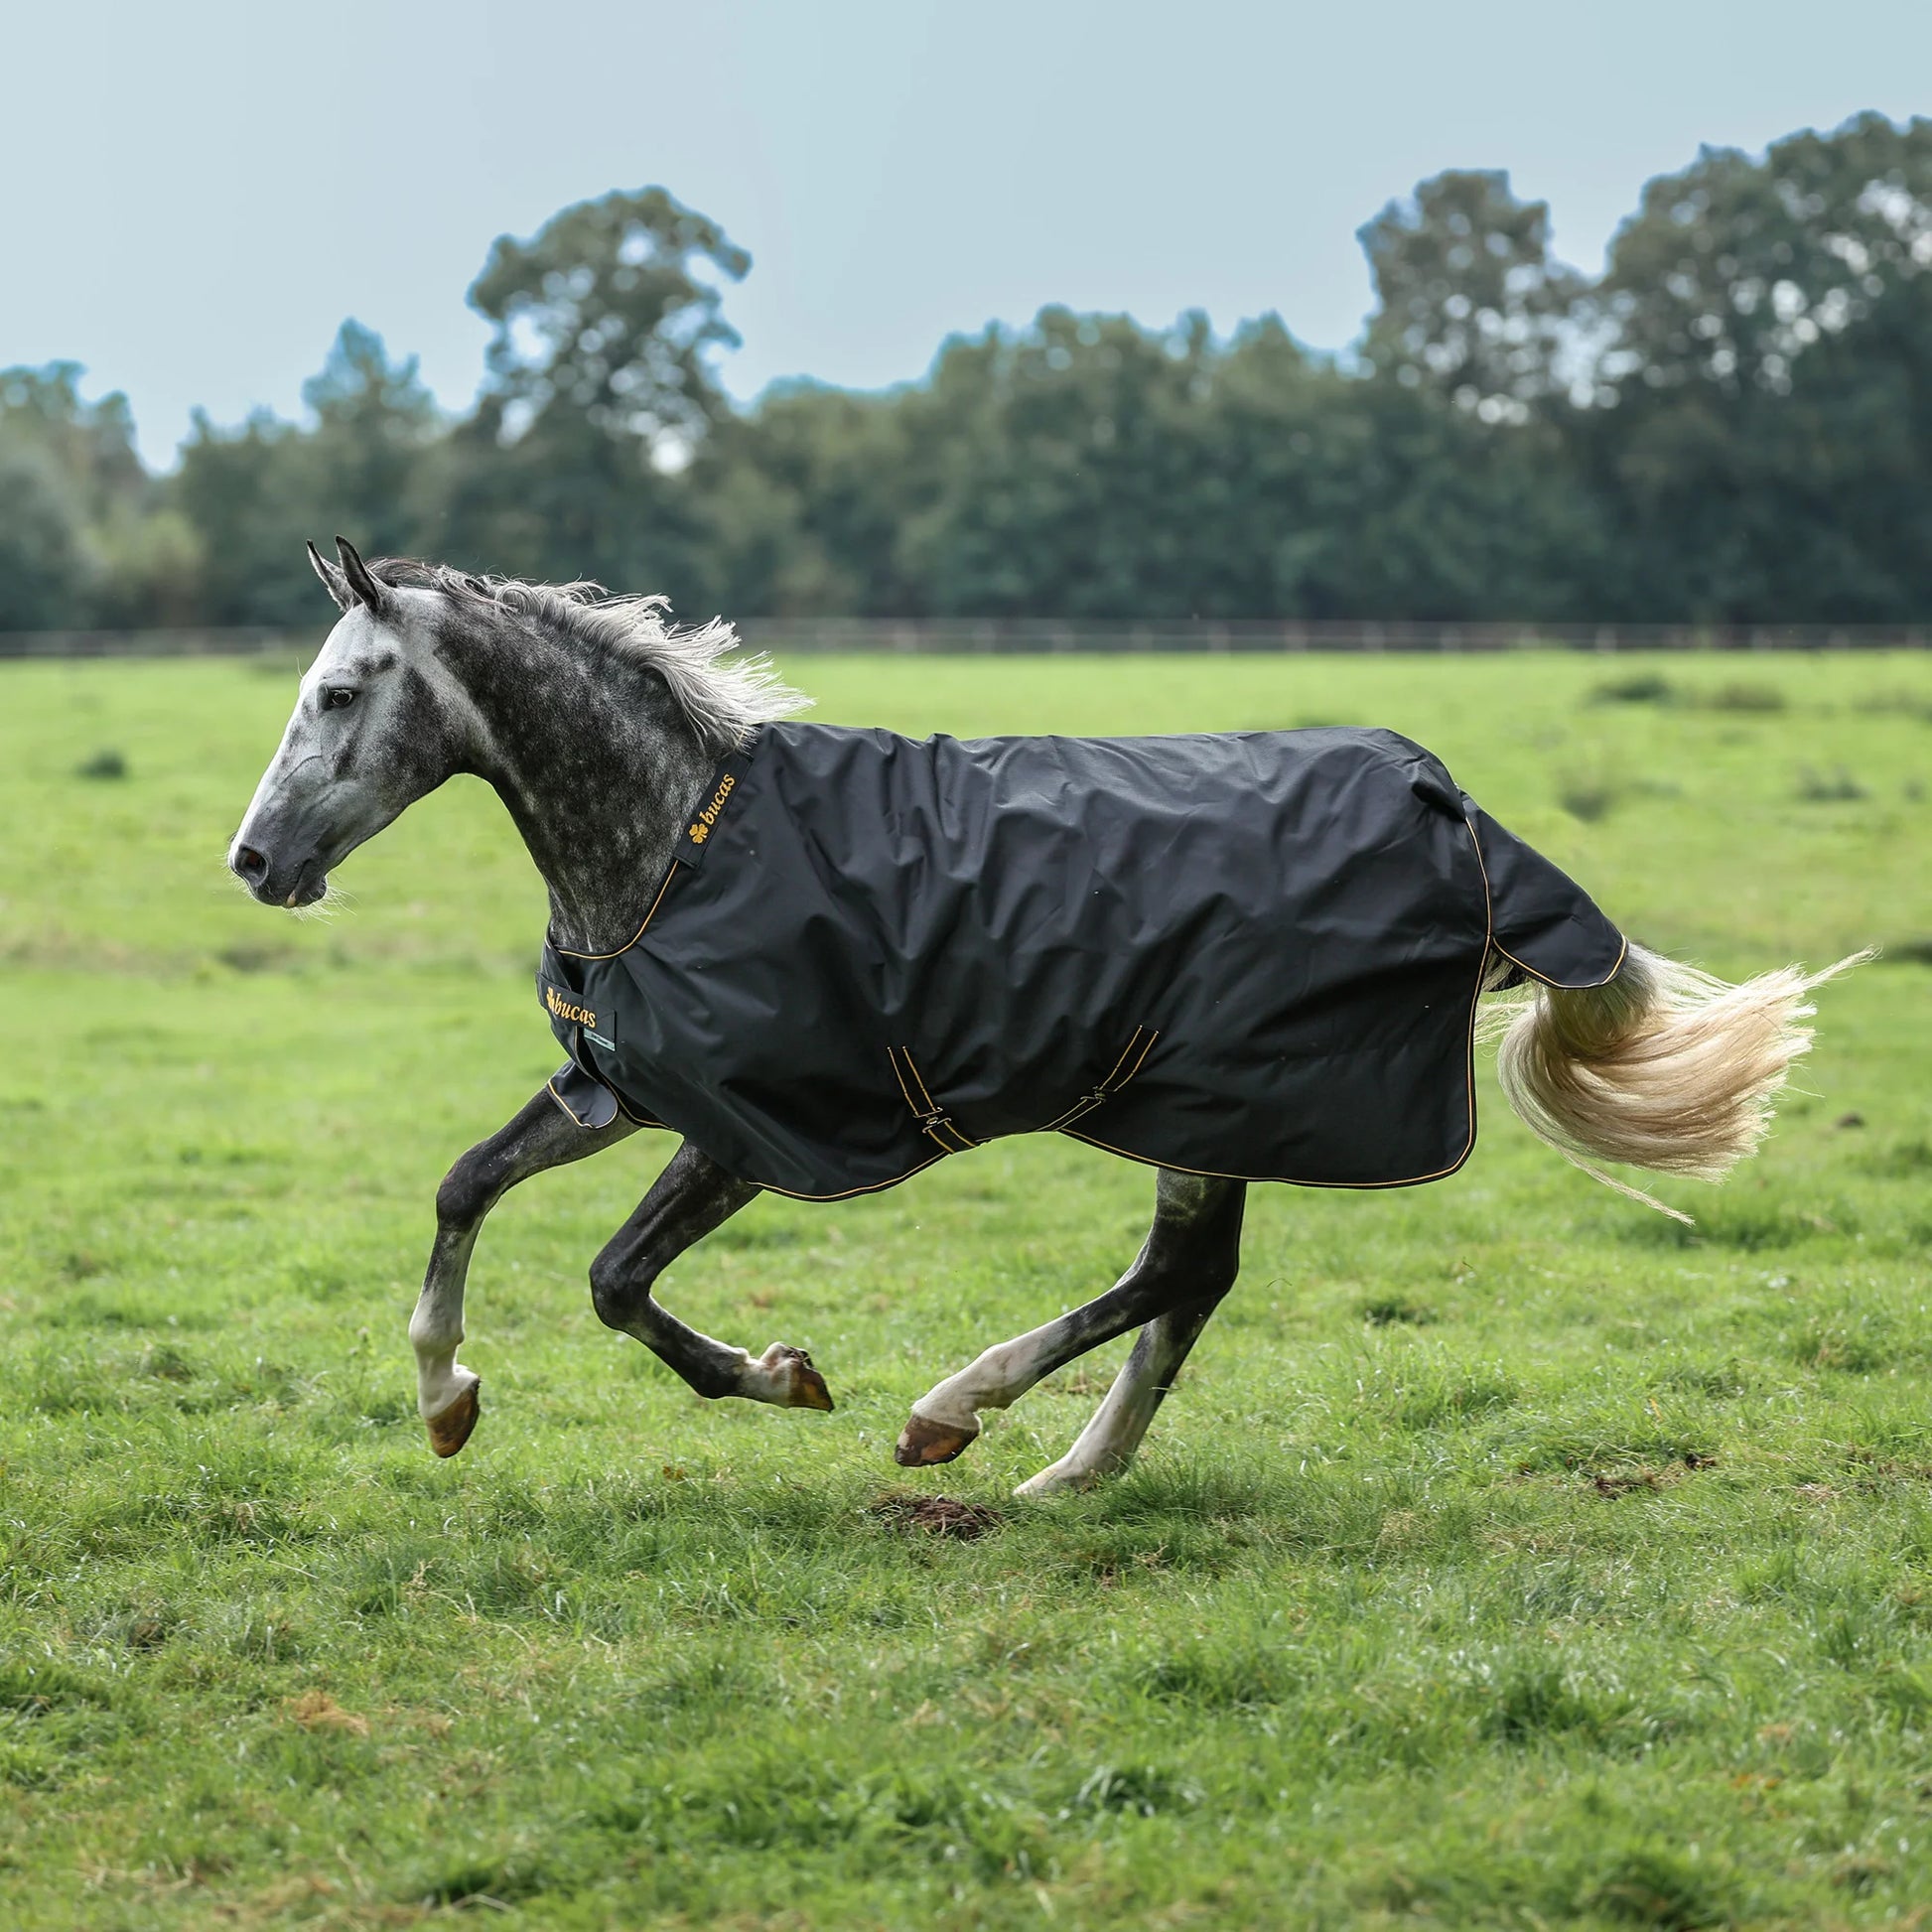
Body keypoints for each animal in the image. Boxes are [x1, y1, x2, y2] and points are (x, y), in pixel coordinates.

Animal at [229, 539, 1855, 1496]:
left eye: (341, 692)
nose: (255, 861)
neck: (674, 842)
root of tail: (1461, 819)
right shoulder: (624, 1083)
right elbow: (465, 1186)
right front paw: (445, 1398)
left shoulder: (754, 1123)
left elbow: (617, 1281)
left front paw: (781, 1375)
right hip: (1205, 1103)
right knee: (1190, 1284)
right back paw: (1070, 1471)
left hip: (1204, 1095)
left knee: (1176, 1274)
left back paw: (956, 1412)